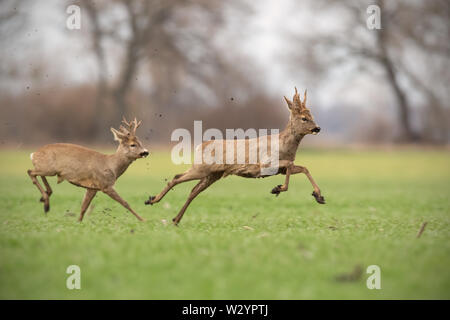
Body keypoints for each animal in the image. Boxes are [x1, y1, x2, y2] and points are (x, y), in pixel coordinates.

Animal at [146, 87, 326, 225]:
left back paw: (175, 219)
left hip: (213, 174)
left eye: (312, 116)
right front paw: (278, 188)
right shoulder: (265, 164)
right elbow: (291, 165)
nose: (317, 128)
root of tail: (200, 146)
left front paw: (319, 196)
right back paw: (152, 201)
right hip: (202, 168)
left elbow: (302, 167)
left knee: (194, 190)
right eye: (304, 118)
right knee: (177, 177)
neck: (284, 145)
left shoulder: (280, 169)